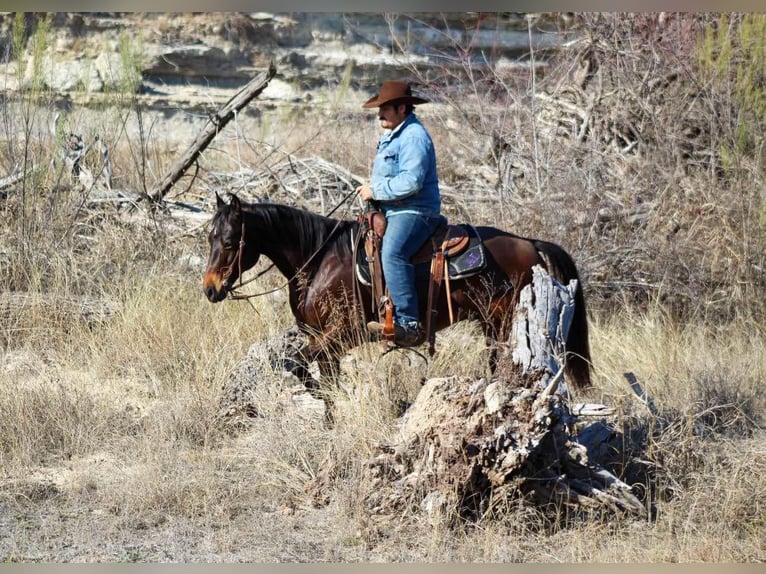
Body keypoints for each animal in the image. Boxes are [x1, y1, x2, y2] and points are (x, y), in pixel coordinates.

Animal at [202, 193, 592, 390]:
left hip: (503, 323)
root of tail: (530, 243)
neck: (318, 258)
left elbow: (296, 366)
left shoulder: (341, 334)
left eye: (230, 241)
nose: (210, 289)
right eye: (208, 237)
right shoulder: (322, 341)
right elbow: (322, 385)